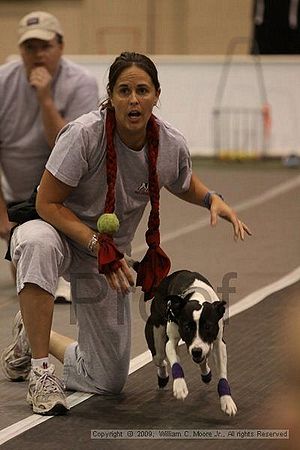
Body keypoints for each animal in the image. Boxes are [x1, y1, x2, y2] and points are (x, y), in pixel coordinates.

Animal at [144, 268, 238, 416]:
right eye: (187, 327)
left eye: (208, 327)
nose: (196, 351)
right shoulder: (171, 341)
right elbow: (176, 364)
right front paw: (179, 386)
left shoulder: (218, 343)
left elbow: (222, 374)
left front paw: (227, 401)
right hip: (156, 337)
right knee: (160, 360)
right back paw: (163, 377)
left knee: (202, 359)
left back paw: (206, 373)